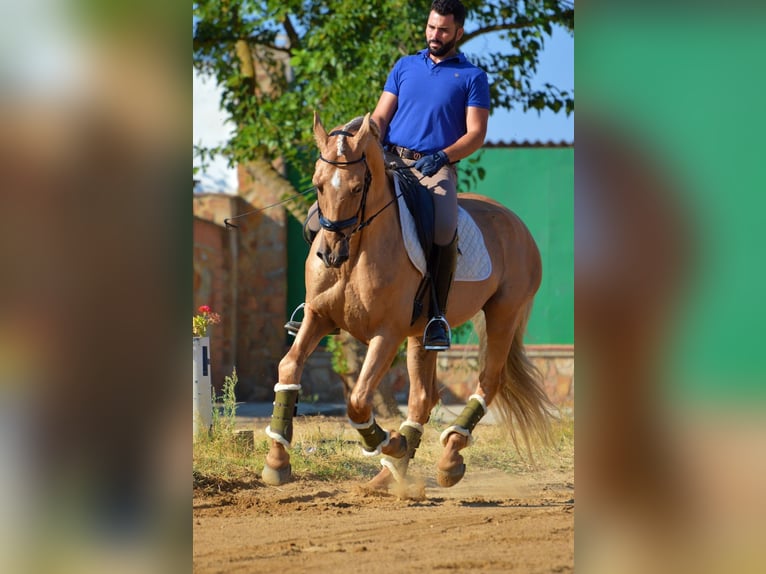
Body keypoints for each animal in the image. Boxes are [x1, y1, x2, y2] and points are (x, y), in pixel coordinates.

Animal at [262, 113, 552, 490]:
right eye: (318, 185)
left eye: (357, 188)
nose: (330, 254)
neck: (355, 253)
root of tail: (514, 222)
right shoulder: (319, 316)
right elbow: (289, 367)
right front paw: (276, 460)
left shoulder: (388, 333)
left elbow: (358, 400)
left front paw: (389, 442)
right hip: (423, 334)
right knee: (423, 398)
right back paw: (390, 474)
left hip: (503, 314)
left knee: (488, 382)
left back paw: (446, 458)